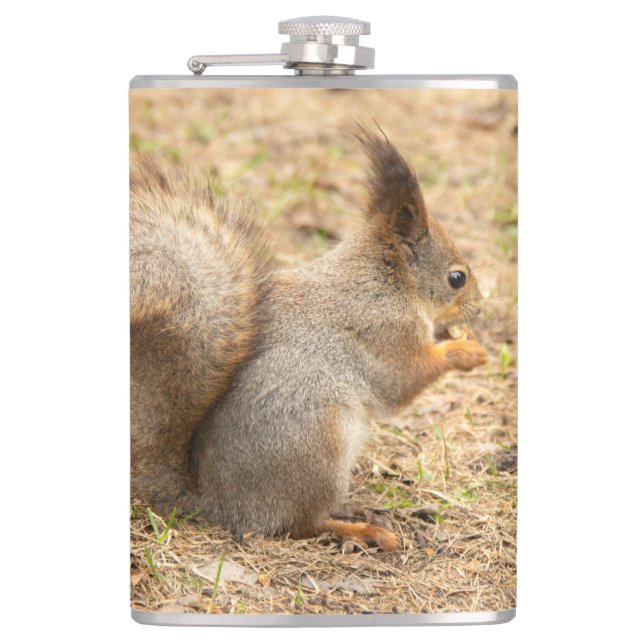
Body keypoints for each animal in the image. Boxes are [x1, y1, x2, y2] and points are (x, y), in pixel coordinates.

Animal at [130, 128, 487, 551]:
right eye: (456, 278)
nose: (480, 307)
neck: (386, 281)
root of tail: (221, 506)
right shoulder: (385, 332)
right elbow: (404, 381)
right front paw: (465, 350)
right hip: (317, 443)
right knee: (299, 525)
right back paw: (360, 530)